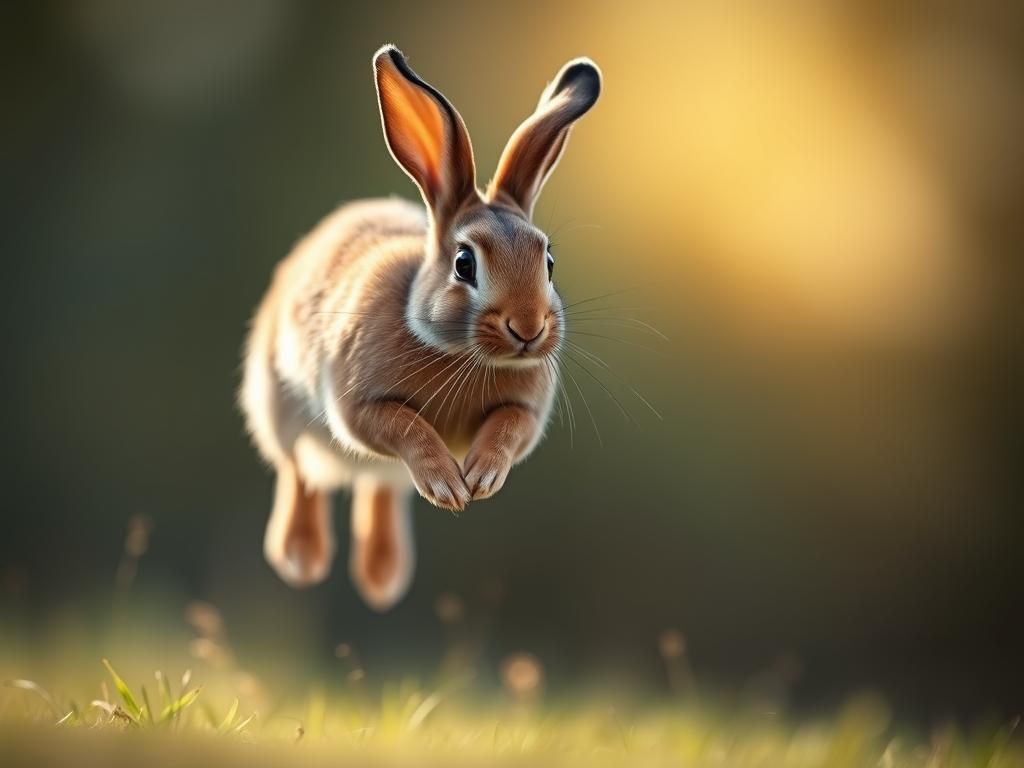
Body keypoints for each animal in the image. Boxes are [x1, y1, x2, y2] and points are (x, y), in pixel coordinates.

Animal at [239, 44, 601, 610]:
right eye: (464, 264)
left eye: (548, 262)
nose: (528, 328)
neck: (461, 354)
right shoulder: (358, 406)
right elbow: (404, 426)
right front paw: (449, 488)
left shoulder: (525, 411)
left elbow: (507, 427)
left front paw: (480, 478)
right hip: (278, 404)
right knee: (299, 470)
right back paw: (302, 556)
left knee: (380, 488)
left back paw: (382, 575)